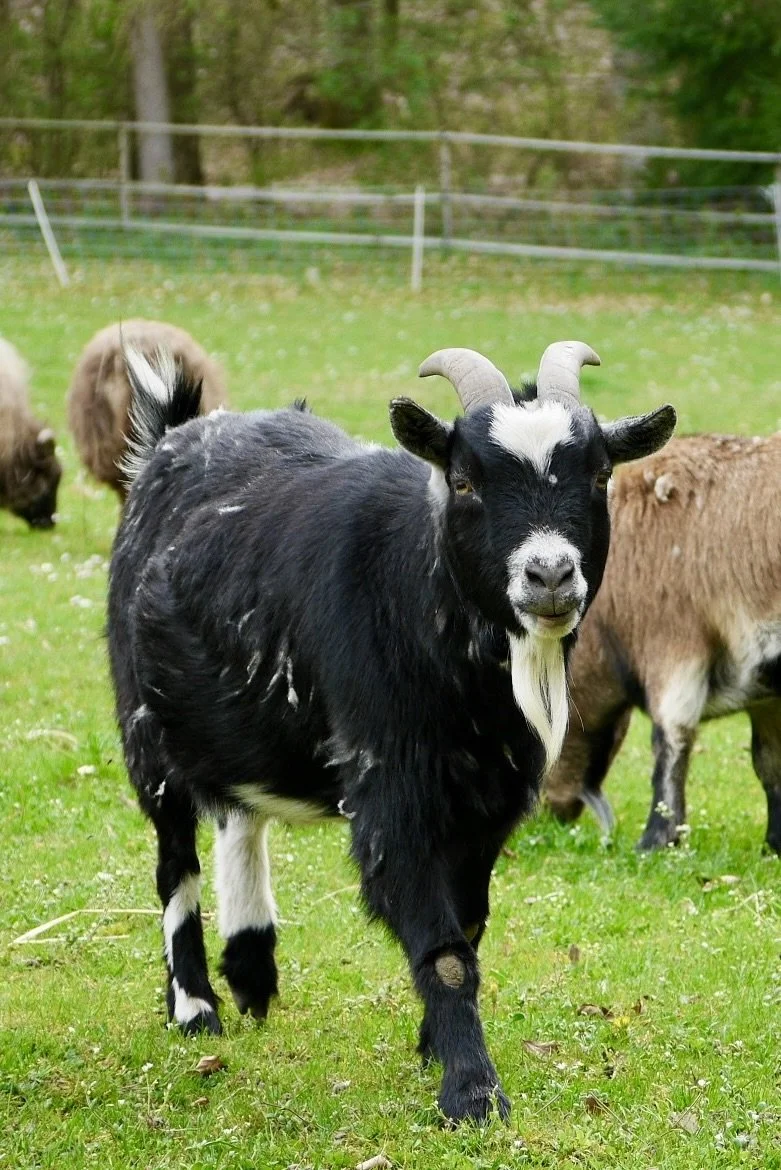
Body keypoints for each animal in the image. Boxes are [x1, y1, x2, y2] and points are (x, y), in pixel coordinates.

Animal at [107, 342, 675, 1123]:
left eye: (597, 474)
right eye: (463, 480)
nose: (550, 574)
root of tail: (171, 437)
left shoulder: (490, 802)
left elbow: (470, 928)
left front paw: (435, 1046)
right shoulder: (392, 792)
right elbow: (445, 950)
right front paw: (471, 1091)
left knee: (238, 817)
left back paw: (252, 973)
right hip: (147, 733)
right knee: (174, 863)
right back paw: (195, 1006)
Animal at [544, 432, 781, 852]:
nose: (550, 810)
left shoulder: (674, 651)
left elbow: (671, 741)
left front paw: (657, 838)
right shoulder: (765, 697)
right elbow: (769, 761)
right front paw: (776, 842)